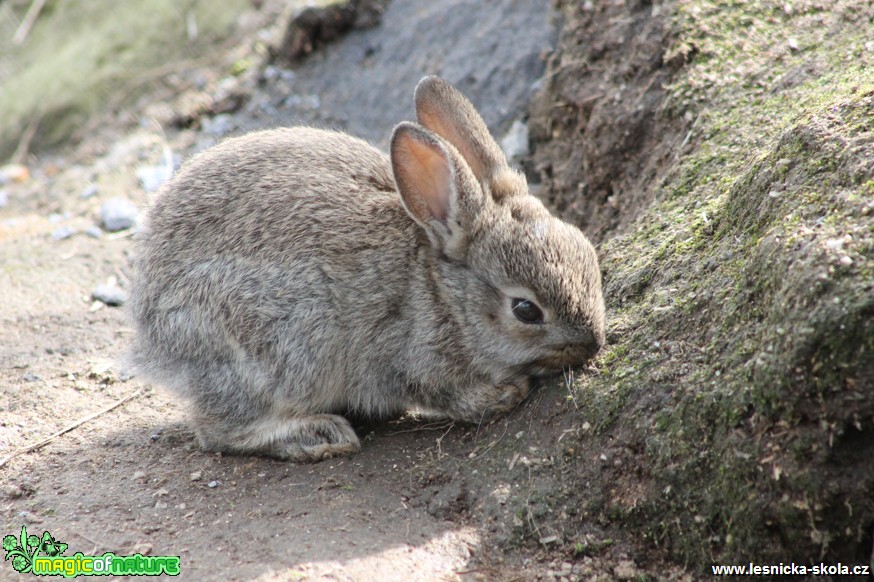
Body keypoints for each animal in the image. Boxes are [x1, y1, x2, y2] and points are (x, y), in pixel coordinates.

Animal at [129, 76, 604, 466]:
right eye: (526, 310)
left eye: (587, 252)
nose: (592, 343)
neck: (445, 294)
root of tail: (149, 331)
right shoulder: (407, 357)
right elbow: (445, 393)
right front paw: (503, 394)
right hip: (277, 344)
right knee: (218, 430)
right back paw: (315, 434)